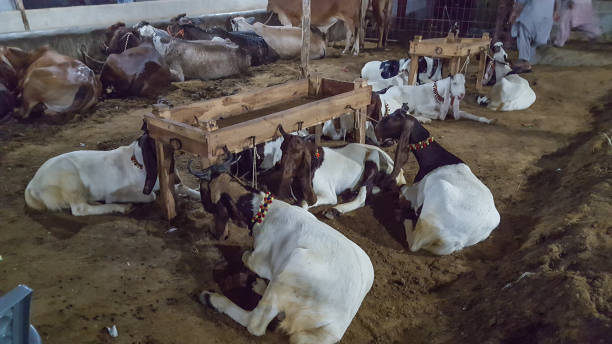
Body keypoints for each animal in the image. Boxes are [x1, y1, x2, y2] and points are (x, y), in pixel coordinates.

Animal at [25, 123, 197, 215]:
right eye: (158, 146)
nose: (176, 178)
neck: (139, 163)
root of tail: (32, 185)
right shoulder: (119, 191)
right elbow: (152, 196)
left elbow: (185, 187)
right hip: (69, 178)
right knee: (80, 209)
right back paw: (121, 207)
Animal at [189, 149, 376, 342]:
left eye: (203, 187)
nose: (203, 204)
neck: (263, 211)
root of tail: (335, 327)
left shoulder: (258, 259)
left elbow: (245, 256)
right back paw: (256, 284)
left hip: (290, 270)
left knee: (255, 323)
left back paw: (212, 298)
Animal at [274, 125, 404, 219]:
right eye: (282, 148)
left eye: (299, 151)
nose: (282, 168)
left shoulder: (328, 193)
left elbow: (303, 203)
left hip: (373, 160)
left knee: (362, 197)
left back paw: (334, 210)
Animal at [376, 110, 500, 255]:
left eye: (396, 117)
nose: (377, 126)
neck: (436, 159)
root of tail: (458, 241)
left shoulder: (414, 191)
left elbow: (403, 189)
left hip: (438, 193)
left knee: (414, 243)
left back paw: (402, 216)